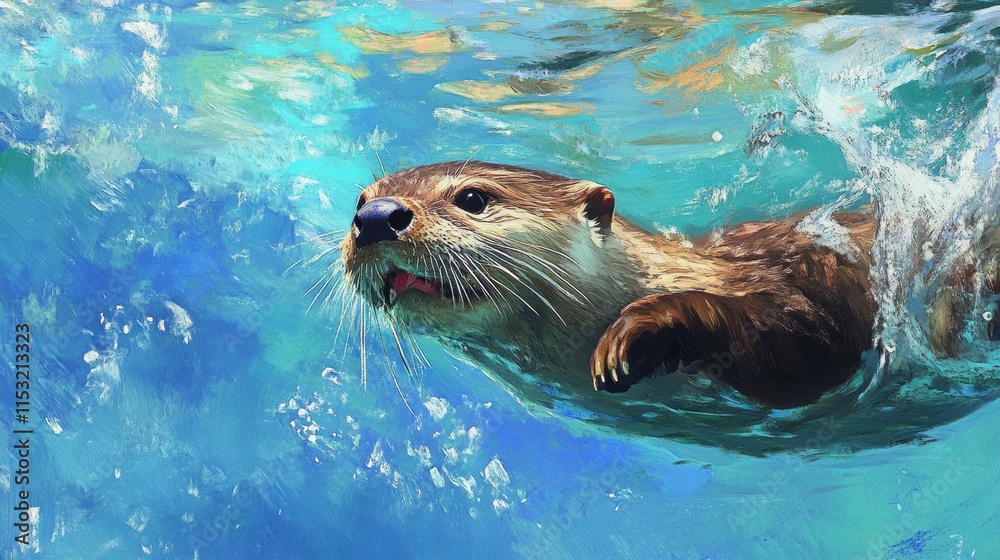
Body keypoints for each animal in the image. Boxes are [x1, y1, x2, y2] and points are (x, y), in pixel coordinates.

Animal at [340, 161, 998, 411]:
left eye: (472, 198)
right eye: (360, 199)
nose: (376, 218)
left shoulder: (809, 287)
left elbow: (810, 343)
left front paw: (638, 331)